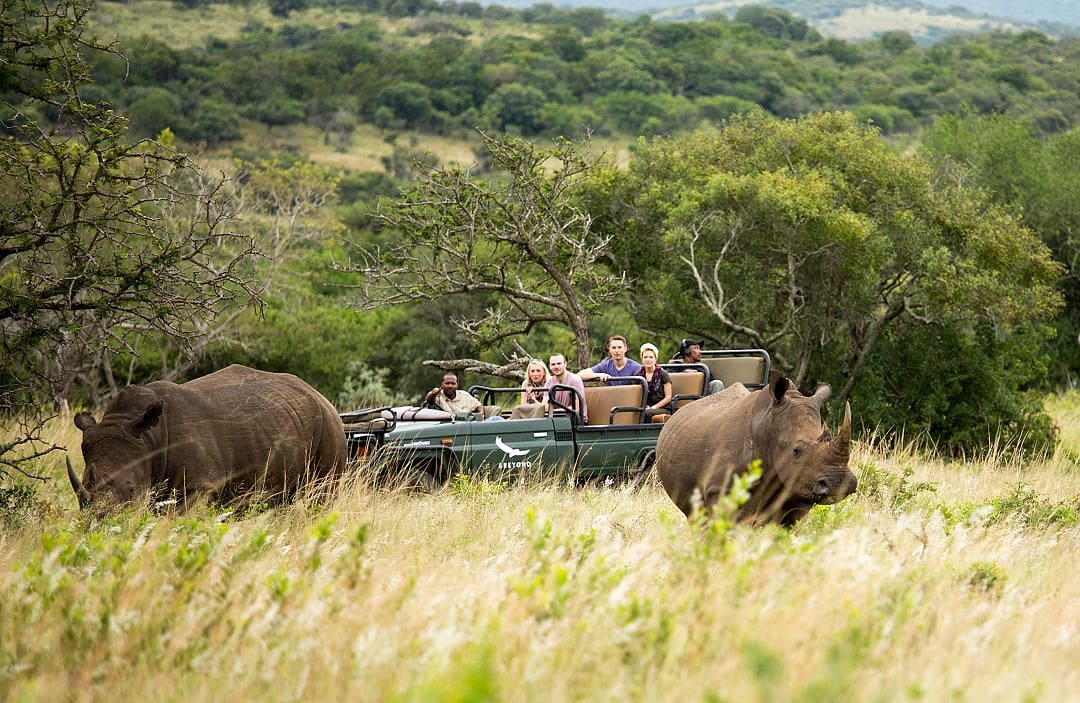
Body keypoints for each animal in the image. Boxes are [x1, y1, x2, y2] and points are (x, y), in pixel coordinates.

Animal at [68, 365, 346, 510]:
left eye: (131, 490)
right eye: (80, 499)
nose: (100, 524)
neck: (148, 438)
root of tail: (318, 394)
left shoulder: (200, 484)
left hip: (329, 425)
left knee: (321, 494)